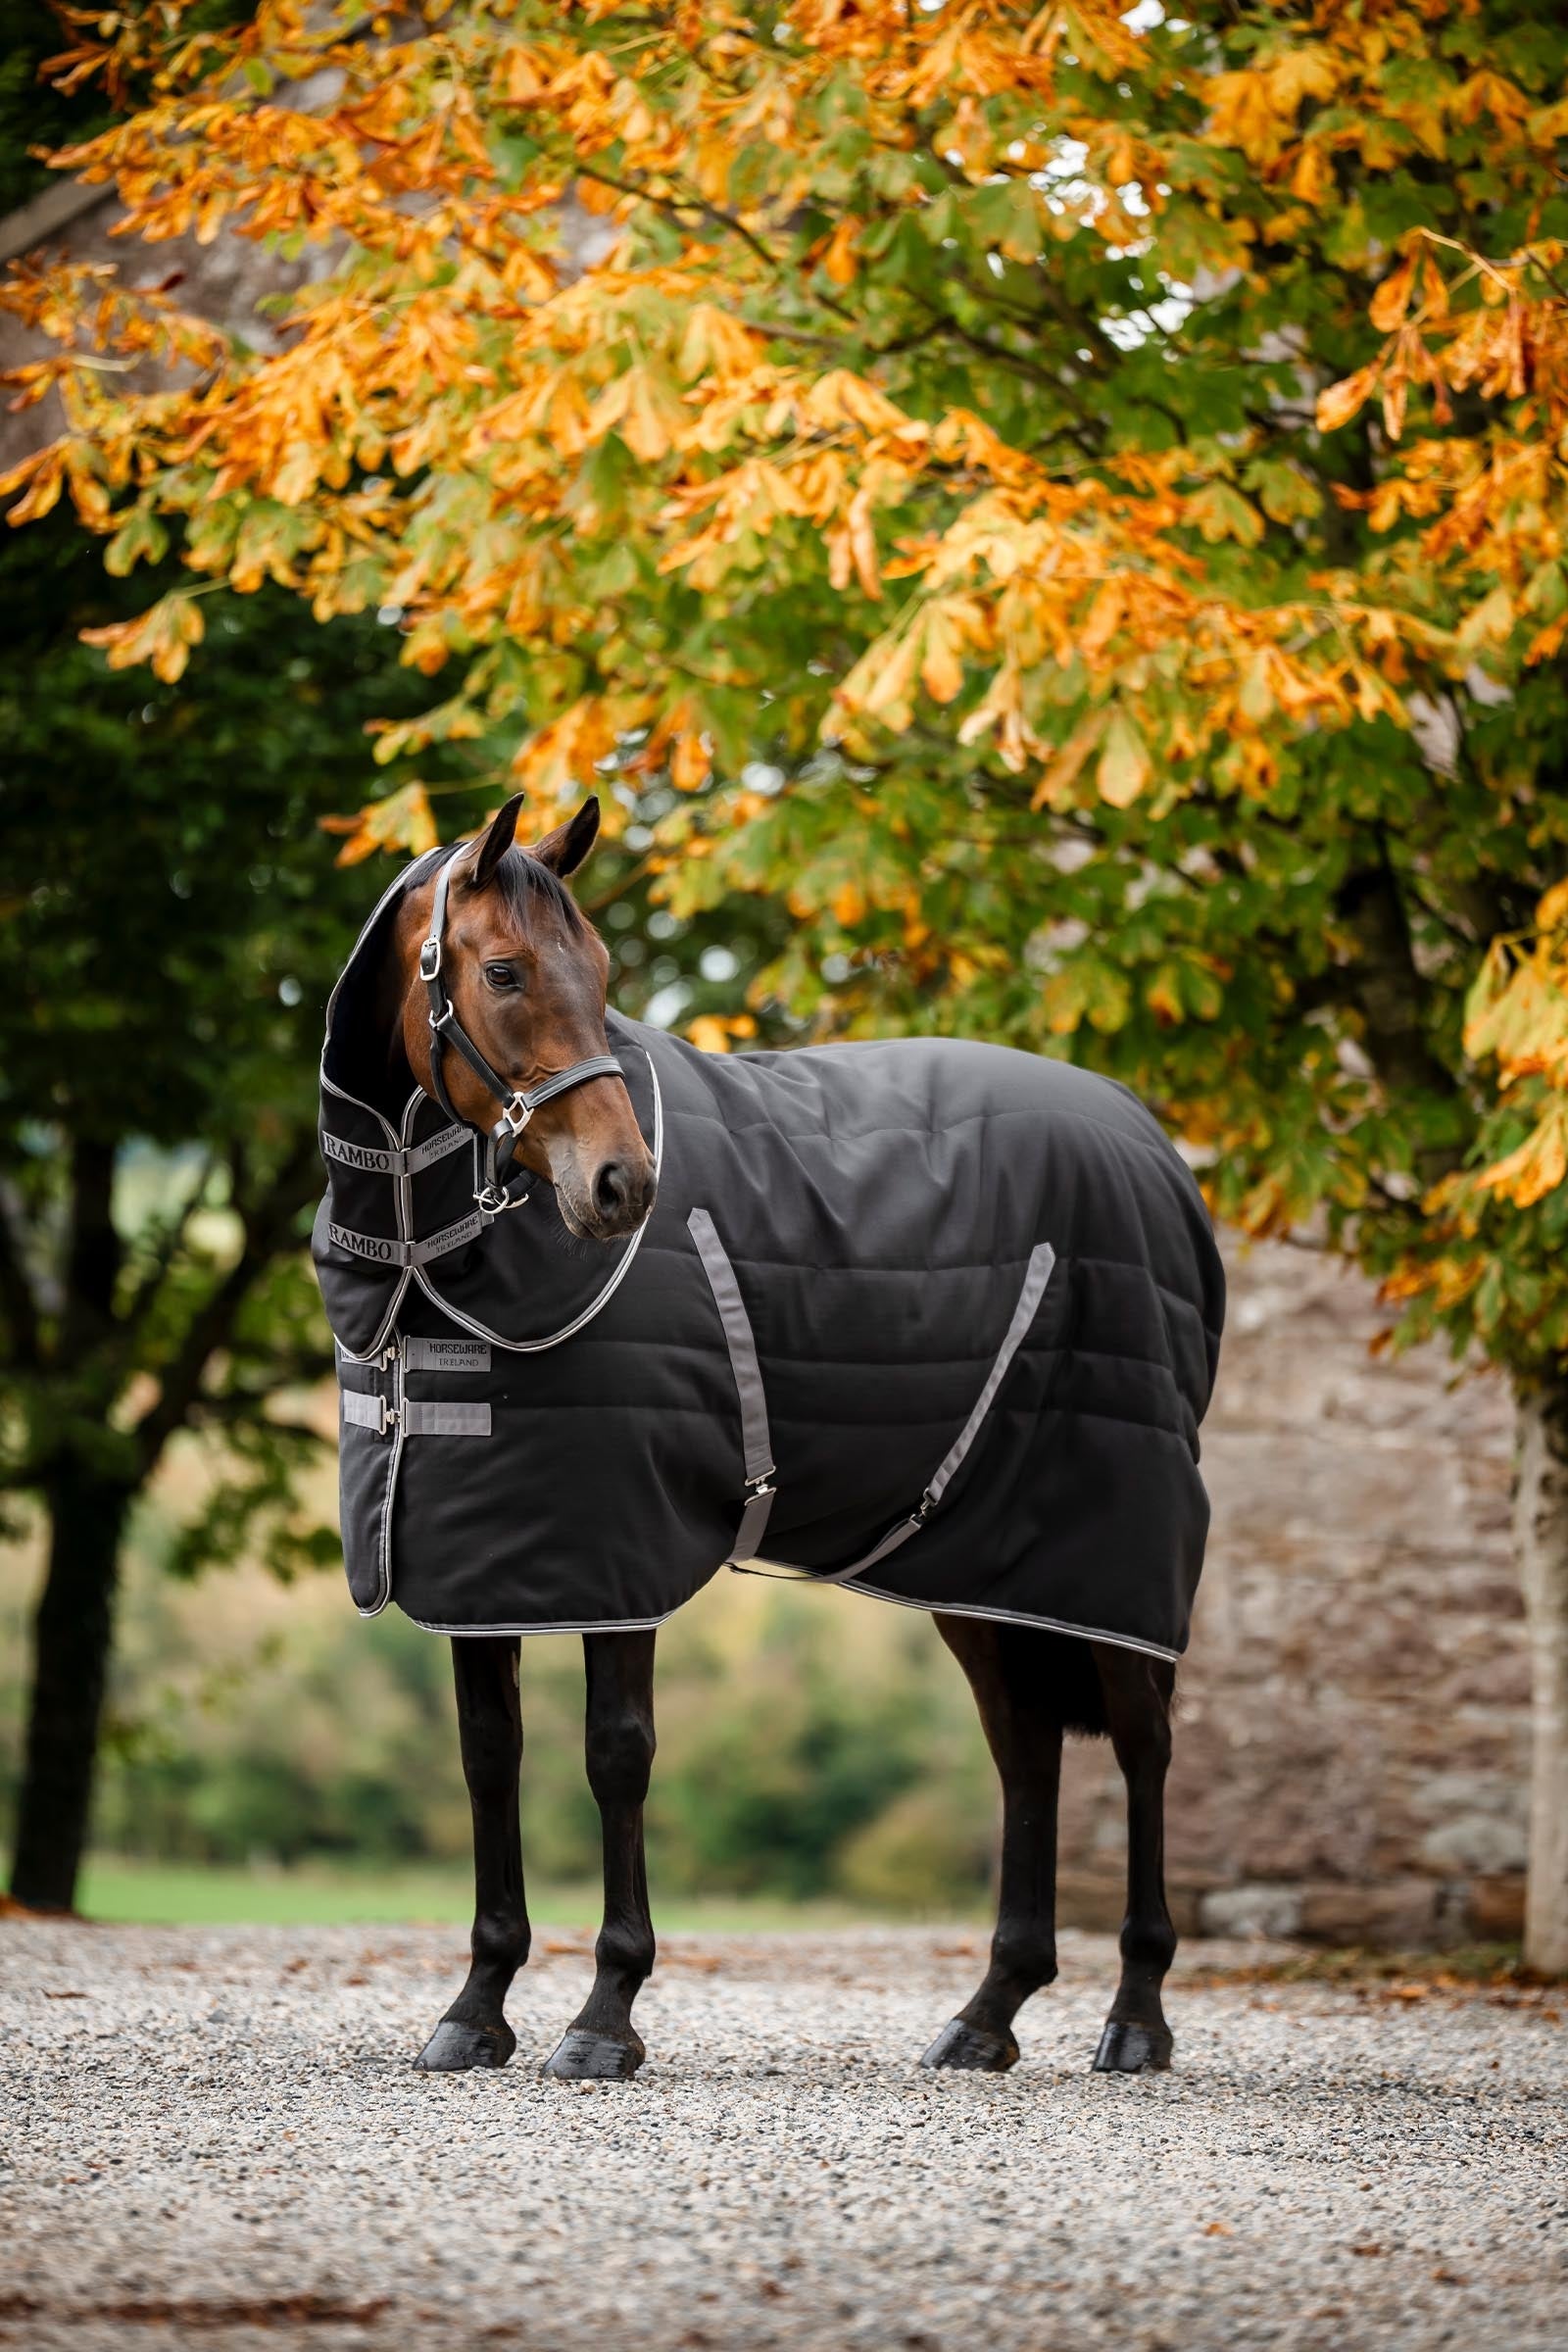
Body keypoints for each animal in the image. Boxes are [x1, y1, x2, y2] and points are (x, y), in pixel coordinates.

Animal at [312, 792, 1224, 2082]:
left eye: (601, 970)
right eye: (502, 970)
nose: (621, 1186)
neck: (423, 1260)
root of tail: (1154, 1151)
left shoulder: (616, 1552)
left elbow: (616, 1753)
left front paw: (605, 2016)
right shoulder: (479, 1563)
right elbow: (491, 1756)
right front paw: (477, 2006)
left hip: (1116, 1549)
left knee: (1141, 1741)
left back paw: (1136, 2014)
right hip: (984, 1564)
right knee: (1024, 1745)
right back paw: (989, 2010)